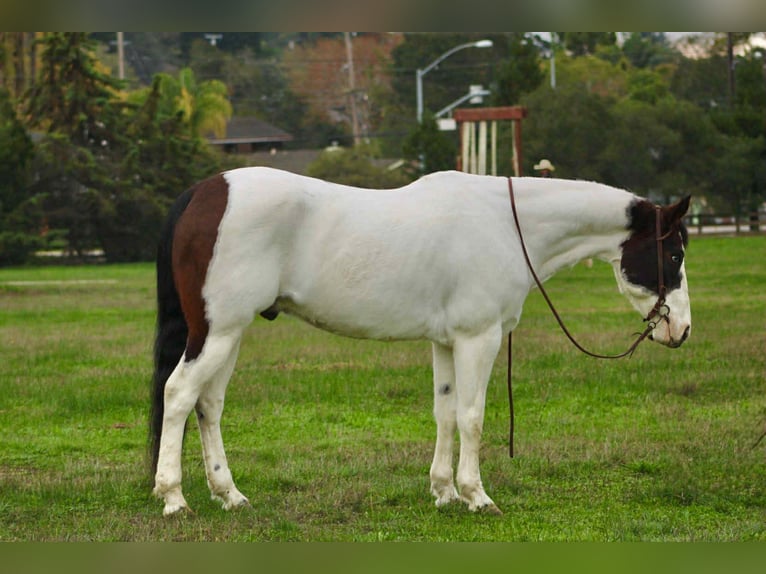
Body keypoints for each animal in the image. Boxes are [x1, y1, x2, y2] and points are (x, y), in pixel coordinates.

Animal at [149, 167, 691, 516]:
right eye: (675, 254)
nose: (681, 330)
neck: (505, 225)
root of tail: (205, 192)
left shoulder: (446, 342)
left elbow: (445, 413)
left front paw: (444, 491)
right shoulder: (478, 338)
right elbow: (472, 417)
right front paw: (477, 496)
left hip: (229, 333)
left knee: (209, 404)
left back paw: (229, 494)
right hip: (217, 332)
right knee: (179, 394)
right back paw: (174, 497)